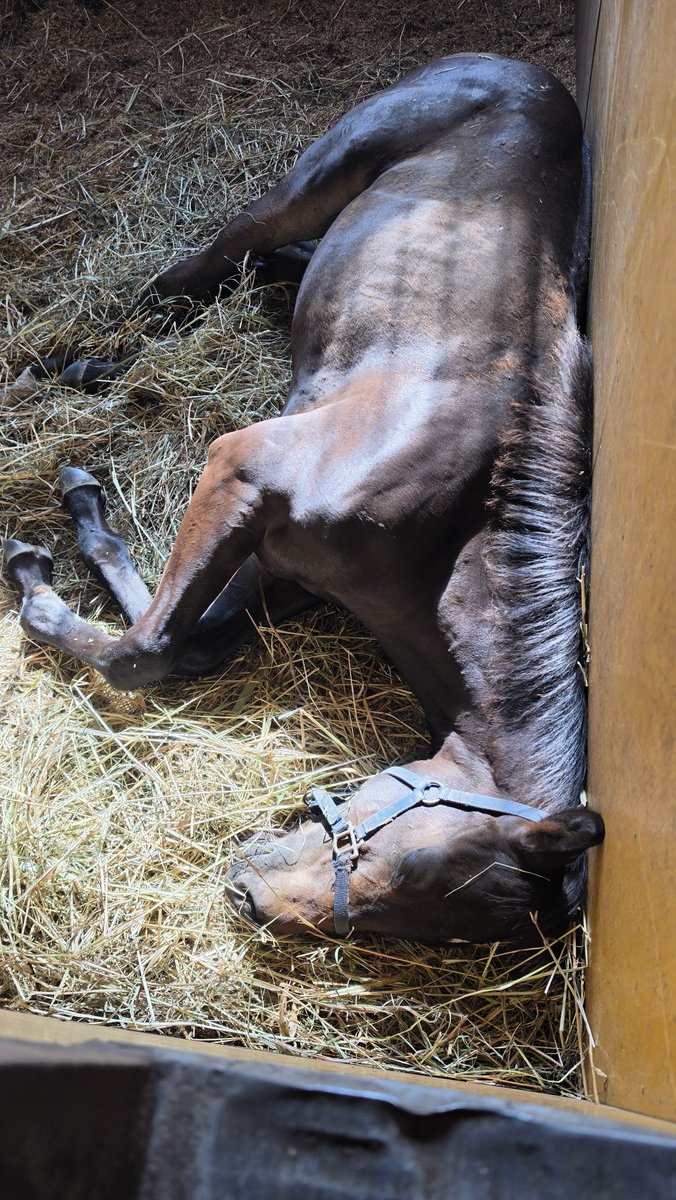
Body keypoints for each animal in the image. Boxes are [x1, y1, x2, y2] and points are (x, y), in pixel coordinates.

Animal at [5, 54, 604, 944]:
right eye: (416, 866)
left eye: (424, 924)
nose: (249, 894)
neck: (450, 536)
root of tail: (517, 68)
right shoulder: (242, 468)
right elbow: (144, 652)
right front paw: (39, 568)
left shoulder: (285, 567)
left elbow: (190, 643)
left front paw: (71, 536)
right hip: (318, 174)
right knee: (188, 275)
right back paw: (69, 365)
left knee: (267, 264)